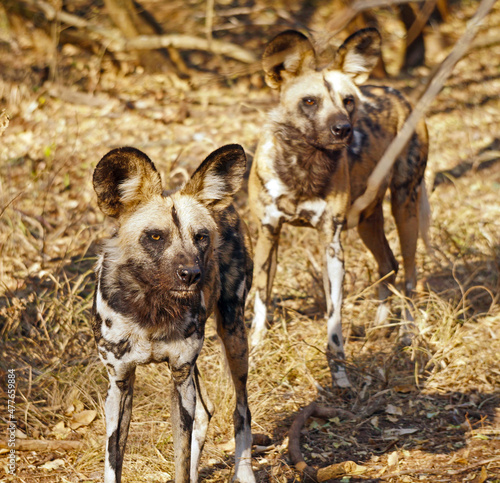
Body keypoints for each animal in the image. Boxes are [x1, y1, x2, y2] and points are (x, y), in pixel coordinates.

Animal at [92, 146, 256, 483]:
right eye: (155, 237)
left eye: (201, 237)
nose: (191, 274)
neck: (151, 311)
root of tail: (227, 205)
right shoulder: (120, 382)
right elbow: (114, 461)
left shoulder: (180, 377)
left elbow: (180, 459)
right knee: (206, 412)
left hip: (234, 337)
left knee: (241, 410)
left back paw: (244, 471)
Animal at [249, 27, 430, 390]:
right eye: (309, 101)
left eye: (348, 101)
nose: (343, 129)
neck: (304, 167)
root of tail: (399, 94)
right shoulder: (268, 233)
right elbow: (261, 301)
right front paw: (254, 353)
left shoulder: (331, 246)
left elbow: (334, 321)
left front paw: (339, 374)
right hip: (366, 221)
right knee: (388, 265)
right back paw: (379, 329)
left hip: (404, 205)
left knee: (409, 274)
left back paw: (406, 335)